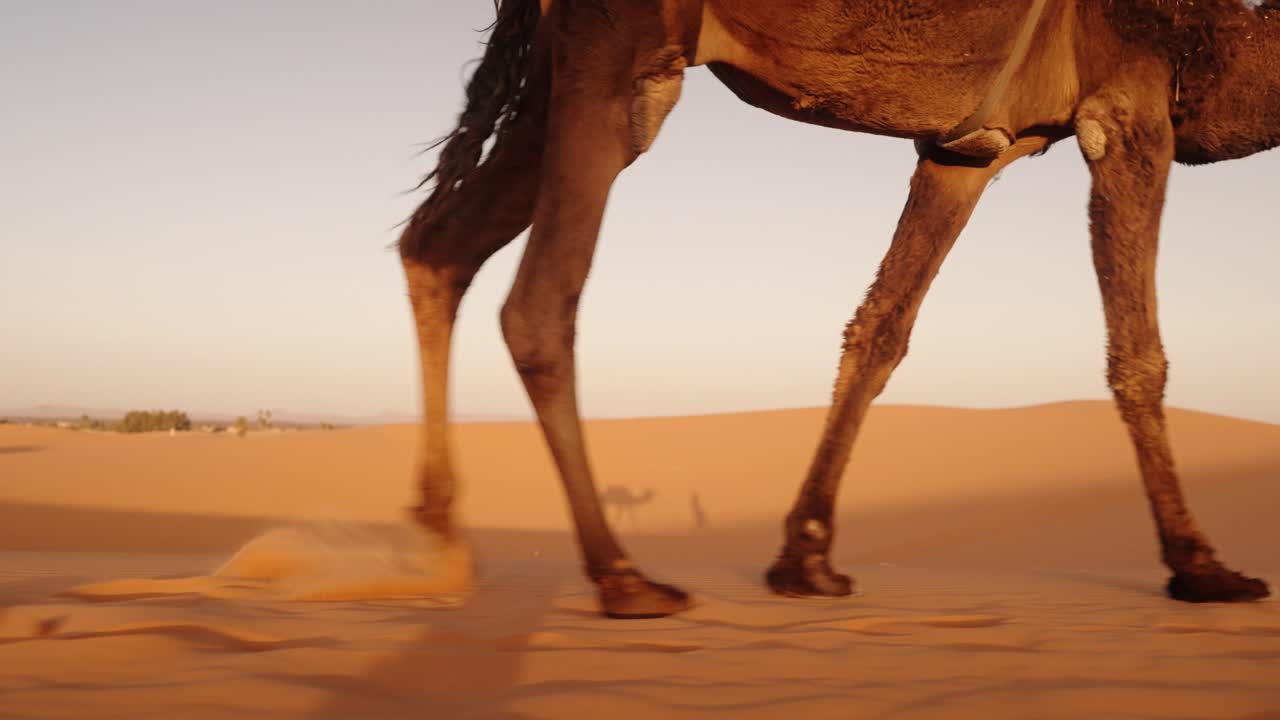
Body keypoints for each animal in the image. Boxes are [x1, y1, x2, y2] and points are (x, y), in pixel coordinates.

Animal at [400, 0, 1278, 618]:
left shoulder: (967, 152)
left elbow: (881, 332)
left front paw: (807, 559)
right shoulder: (1127, 113)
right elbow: (1140, 353)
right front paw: (1202, 565)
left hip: (559, 68)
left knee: (436, 245)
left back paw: (439, 540)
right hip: (625, 52)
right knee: (539, 295)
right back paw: (622, 578)